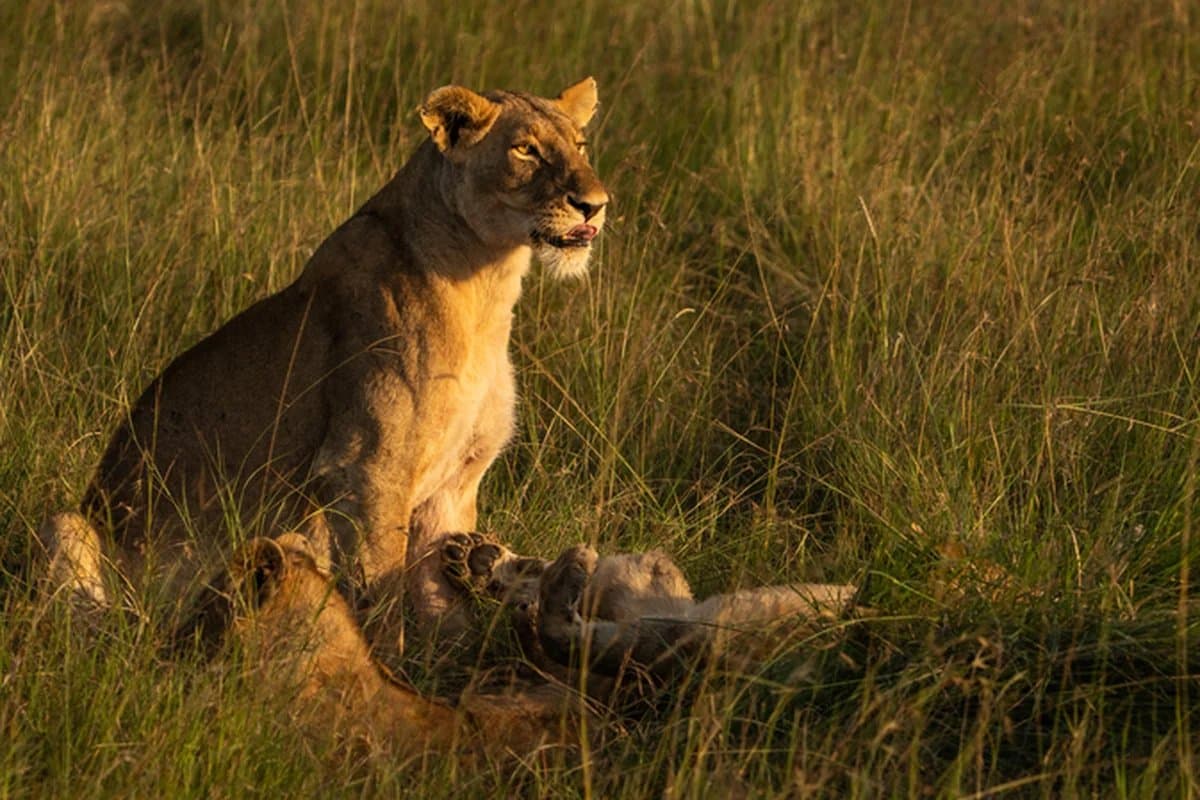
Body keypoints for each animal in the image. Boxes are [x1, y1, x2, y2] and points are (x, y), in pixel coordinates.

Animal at [37, 78, 610, 650]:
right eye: (525, 150)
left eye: (581, 146)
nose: (595, 205)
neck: (489, 284)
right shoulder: (367, 469)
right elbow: (384, 591)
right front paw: (387, 664)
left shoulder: (453, 485)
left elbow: (442, 603)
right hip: (70, 525)